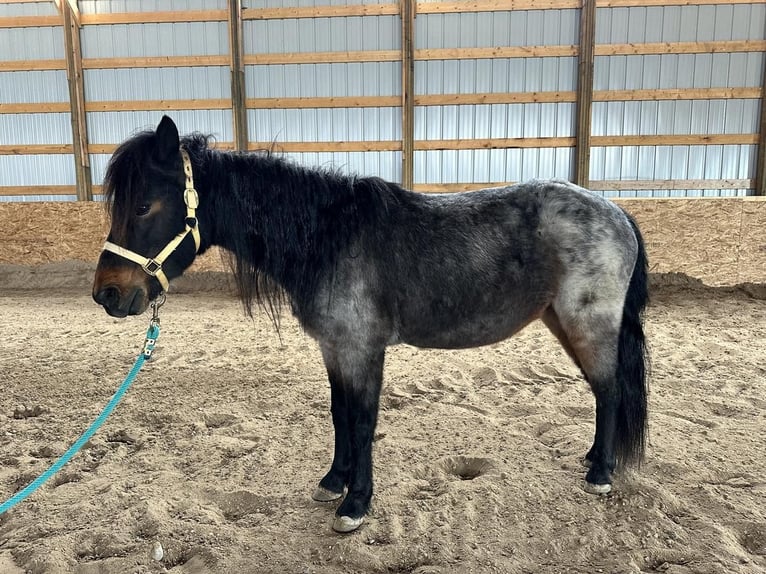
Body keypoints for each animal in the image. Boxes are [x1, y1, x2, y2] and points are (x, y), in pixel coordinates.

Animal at [93, 117, 652, 536]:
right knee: (601, 390)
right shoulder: (335, 349)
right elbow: (340, 414)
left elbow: (362, 421)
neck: (325, 236)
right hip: (561, 321)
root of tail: (616, 212)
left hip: (588, 322)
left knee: (609, 388)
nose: (107, 294)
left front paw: (355, 505)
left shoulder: (362, 349)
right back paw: (591, 459)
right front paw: (333, 482)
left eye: (143, 205)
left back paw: (601, 472)